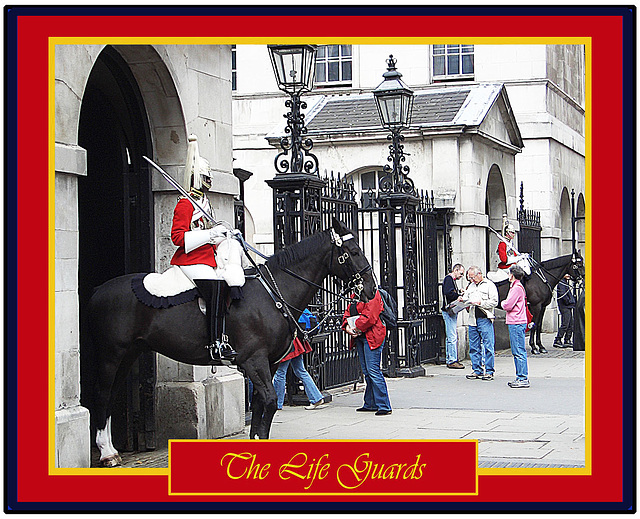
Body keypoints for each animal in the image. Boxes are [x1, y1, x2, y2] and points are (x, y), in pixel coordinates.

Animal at [84, 219, 376, 468]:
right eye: (353, 251)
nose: (371, 290)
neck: (273, 293)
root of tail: (98, 290)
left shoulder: (268, 363)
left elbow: (259, 404)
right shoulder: (254, 361)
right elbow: (270, 401)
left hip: (129, 354)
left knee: (111, 395)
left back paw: (111, 449)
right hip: (111, 354)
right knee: (101, 393)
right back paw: (107, 453)